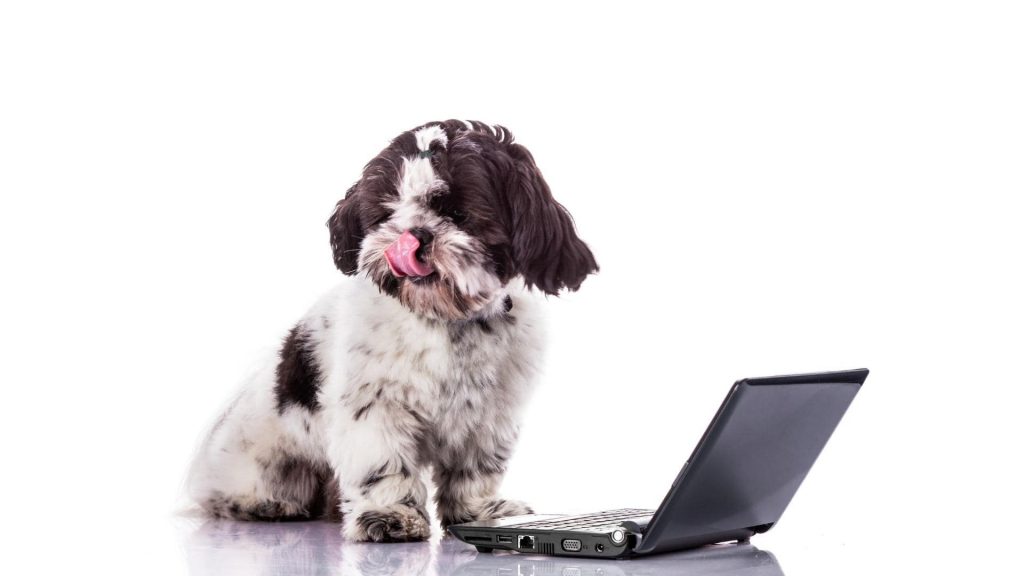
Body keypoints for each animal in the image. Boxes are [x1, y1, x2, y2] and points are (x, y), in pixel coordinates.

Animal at [188, 118, 598, 541]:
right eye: (387, 212)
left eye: (458, 212)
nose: (415, 234)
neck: (445, 319)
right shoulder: (377, 406)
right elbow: (383, 463)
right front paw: (390, 515)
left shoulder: (489, 416)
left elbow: (476, 471)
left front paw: (478, 513)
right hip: (265, 457)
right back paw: (265, 504)